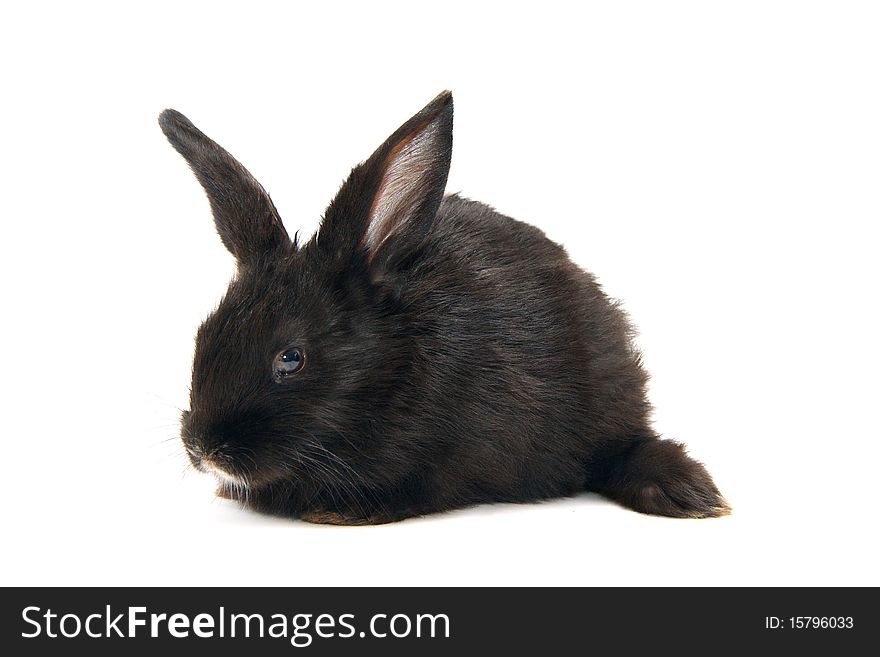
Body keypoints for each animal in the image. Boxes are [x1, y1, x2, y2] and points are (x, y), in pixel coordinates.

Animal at [160, 92, 728, 524]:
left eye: (291, 358)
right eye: (203, 336)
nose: (204, 448)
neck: (389, 370)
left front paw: (345, 512)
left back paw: (690, 494)